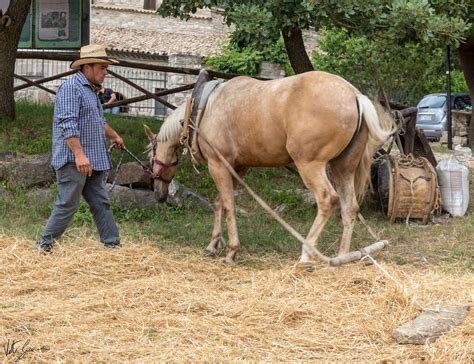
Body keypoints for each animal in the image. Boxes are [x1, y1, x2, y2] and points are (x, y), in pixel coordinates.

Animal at [143, 70, 392, 264]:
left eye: (150, 158)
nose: (158, 195)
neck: (203, 108)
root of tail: (355, 96)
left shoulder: (218, 164)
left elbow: (229, 206)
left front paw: (232, 251)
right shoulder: (238, 167)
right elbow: (219, 203)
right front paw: (213, 245)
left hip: (310, 165)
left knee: (327, 200)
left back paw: (306, 253)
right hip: (343, 168)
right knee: (350, 208)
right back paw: (342, 256)